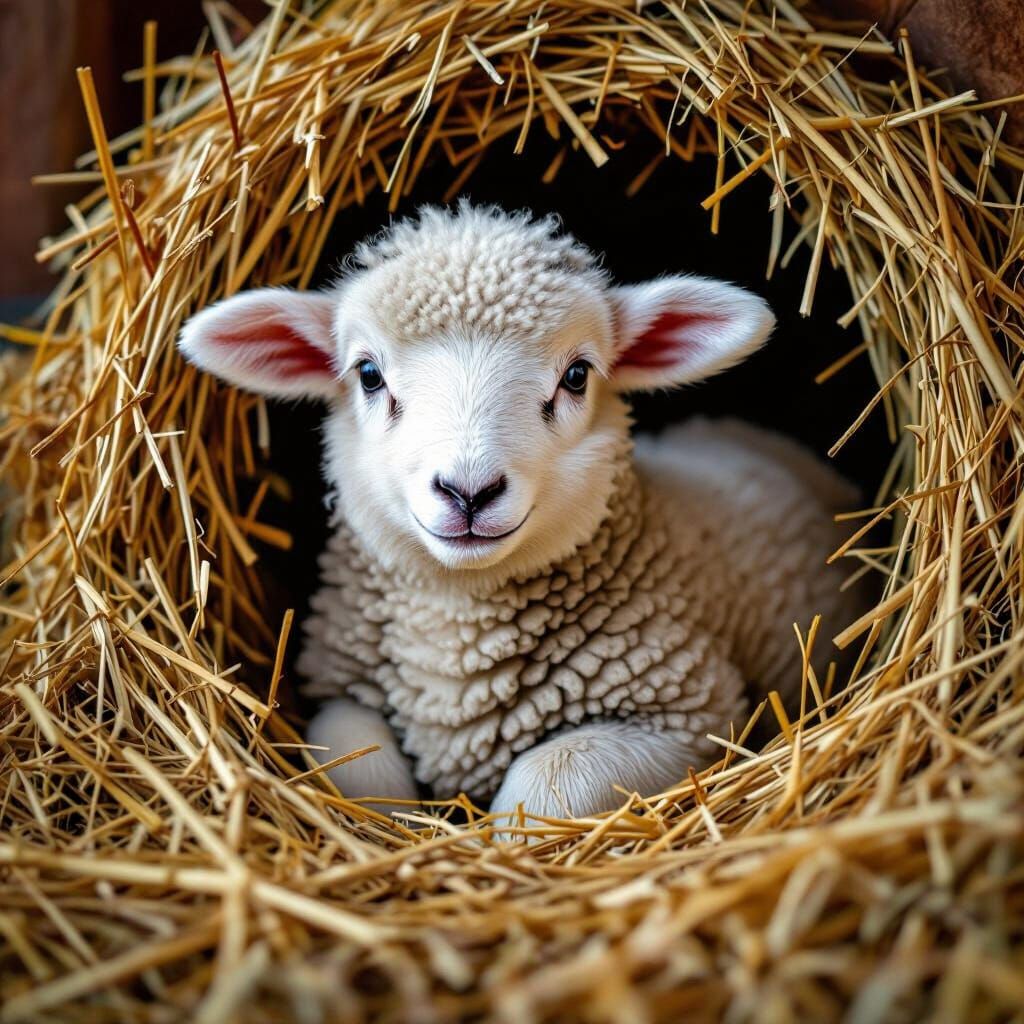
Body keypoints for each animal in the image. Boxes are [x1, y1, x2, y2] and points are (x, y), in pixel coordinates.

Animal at [179, 202, 863, 820]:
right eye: (368, 374)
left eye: (578, 375)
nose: (468, 491)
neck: (458, 629)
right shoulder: (339, 690)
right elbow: (360, 764)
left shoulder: (688, 711)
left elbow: (548, 781)